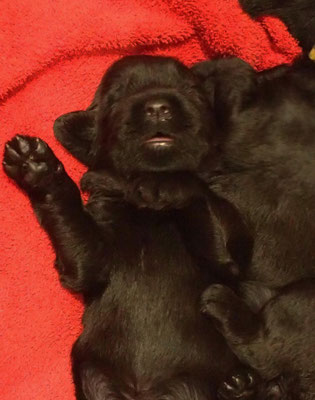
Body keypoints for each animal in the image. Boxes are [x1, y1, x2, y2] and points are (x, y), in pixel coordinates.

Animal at [1, 56, 254, 400]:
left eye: (192, 91)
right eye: (116, 97)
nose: (158, 107)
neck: (151, 212)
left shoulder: (231, 247)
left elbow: (205, 205)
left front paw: (165, 181)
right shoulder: (91, 254)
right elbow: (81, 242)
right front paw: (36, 166)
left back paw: (241, 386)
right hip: (94, 377)